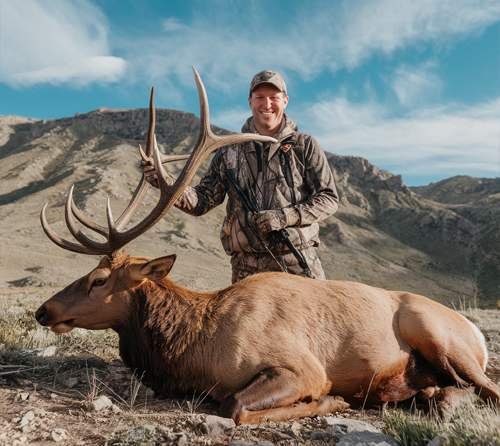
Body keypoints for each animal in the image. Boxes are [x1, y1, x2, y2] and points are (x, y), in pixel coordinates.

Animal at [33, 70, 498, 426]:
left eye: (98, 280)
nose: (43, 311)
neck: (196, 346)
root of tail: (476, 331)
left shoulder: (302, 367)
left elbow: (236, 405)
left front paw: (332, 400)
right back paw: (423, 396)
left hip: (437, 332)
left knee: (486, 387)